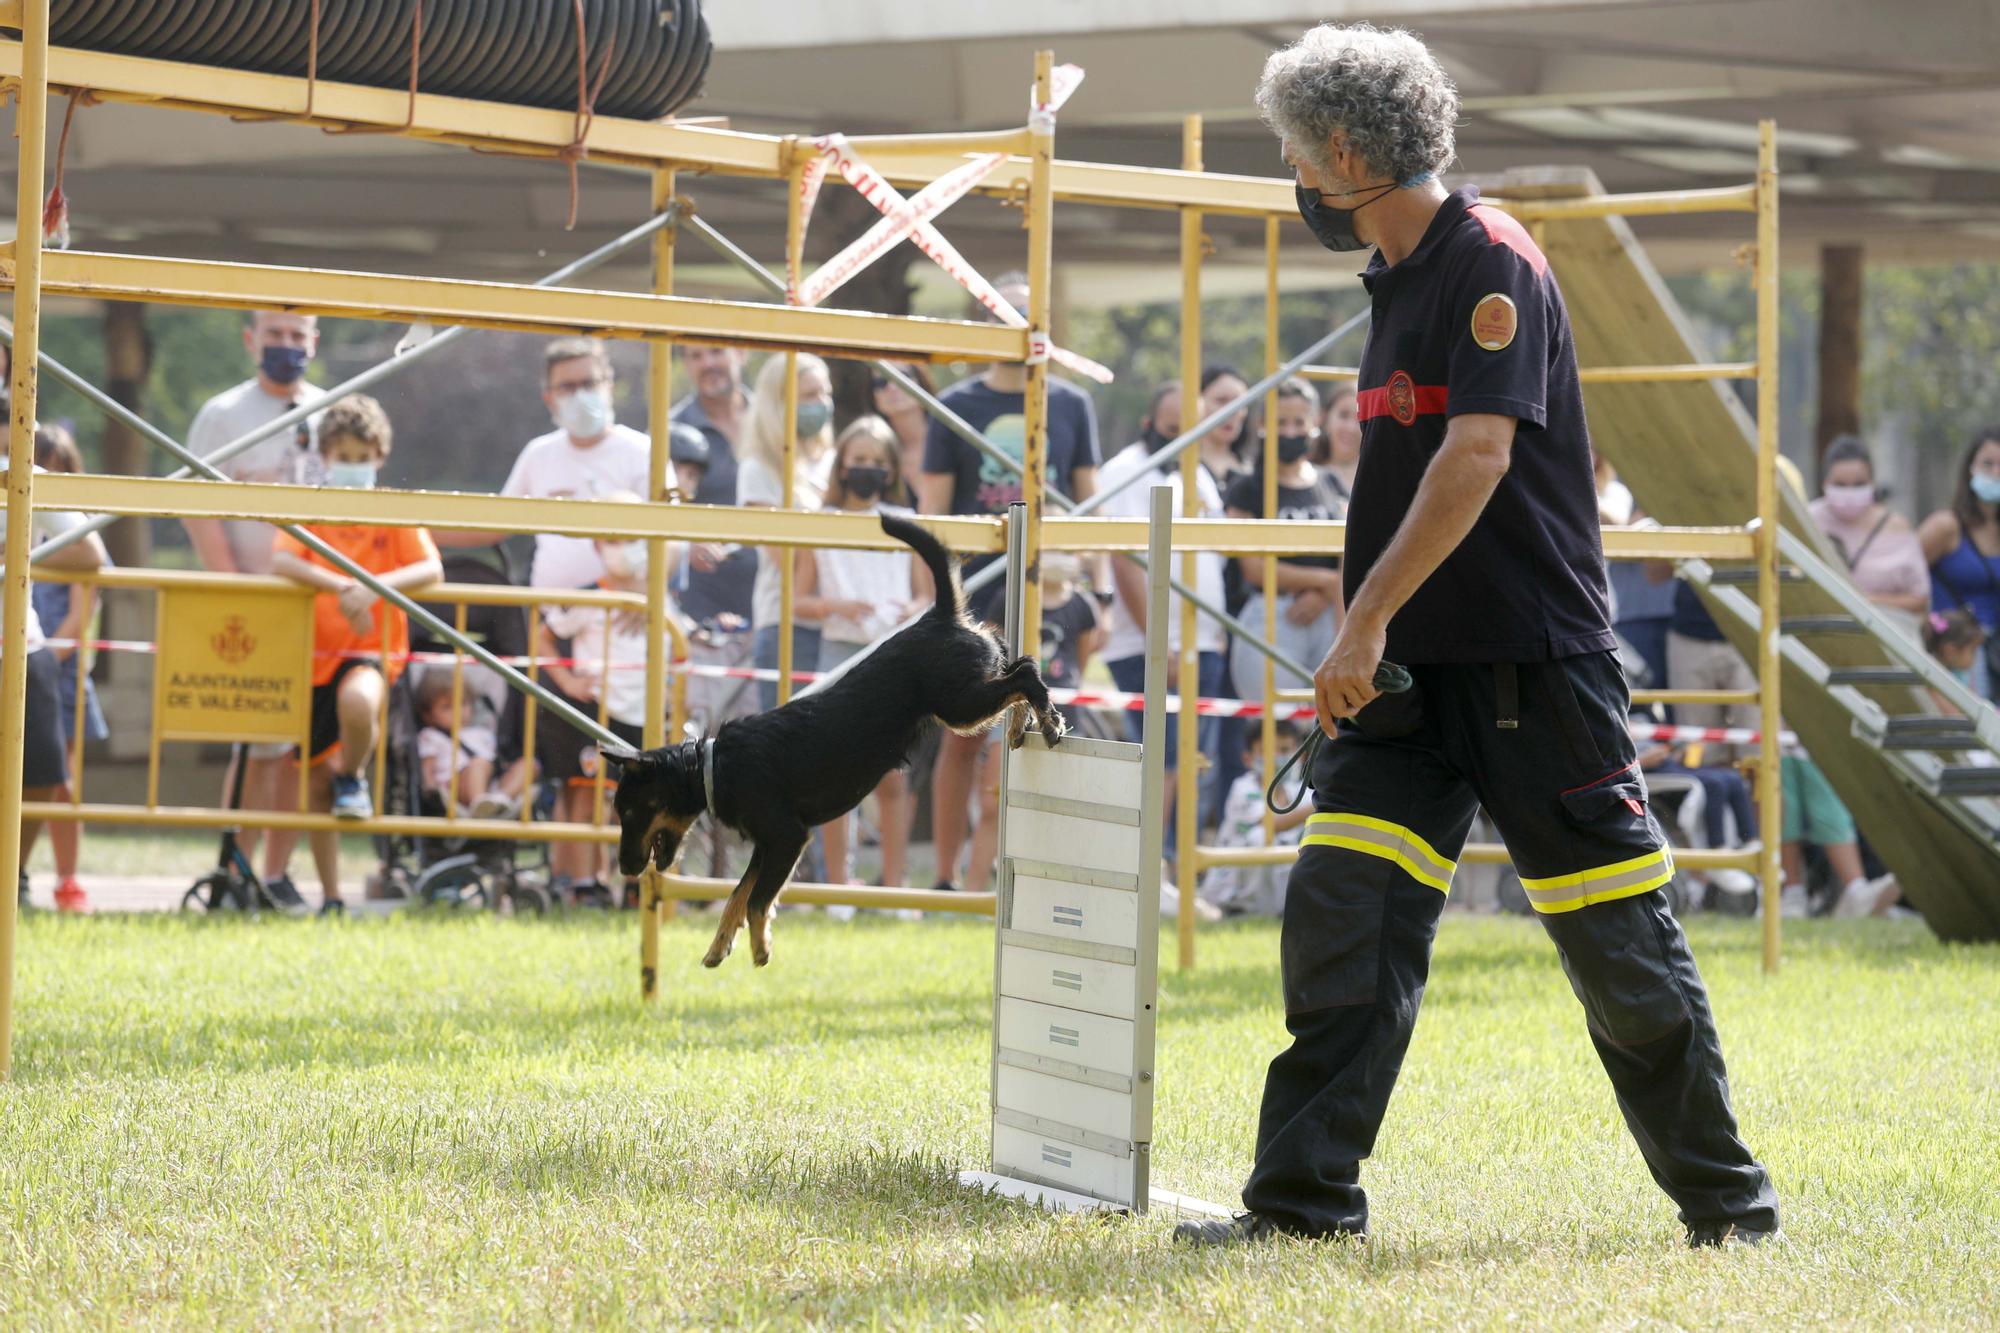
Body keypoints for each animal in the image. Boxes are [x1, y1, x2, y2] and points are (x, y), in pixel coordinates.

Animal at [604, 510, 1064, 964]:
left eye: (629, 811)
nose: (625, 869)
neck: (712, 767)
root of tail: (940, 615)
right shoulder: (768, 845)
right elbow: (739, 894)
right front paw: (720, 945)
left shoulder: (786, 836)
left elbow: (756, 900)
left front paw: (760, 946)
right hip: (969, 695)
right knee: (1014, 662)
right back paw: (1024, 723)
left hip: (960, 707)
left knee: (1025, 672)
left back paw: (1048, 721)